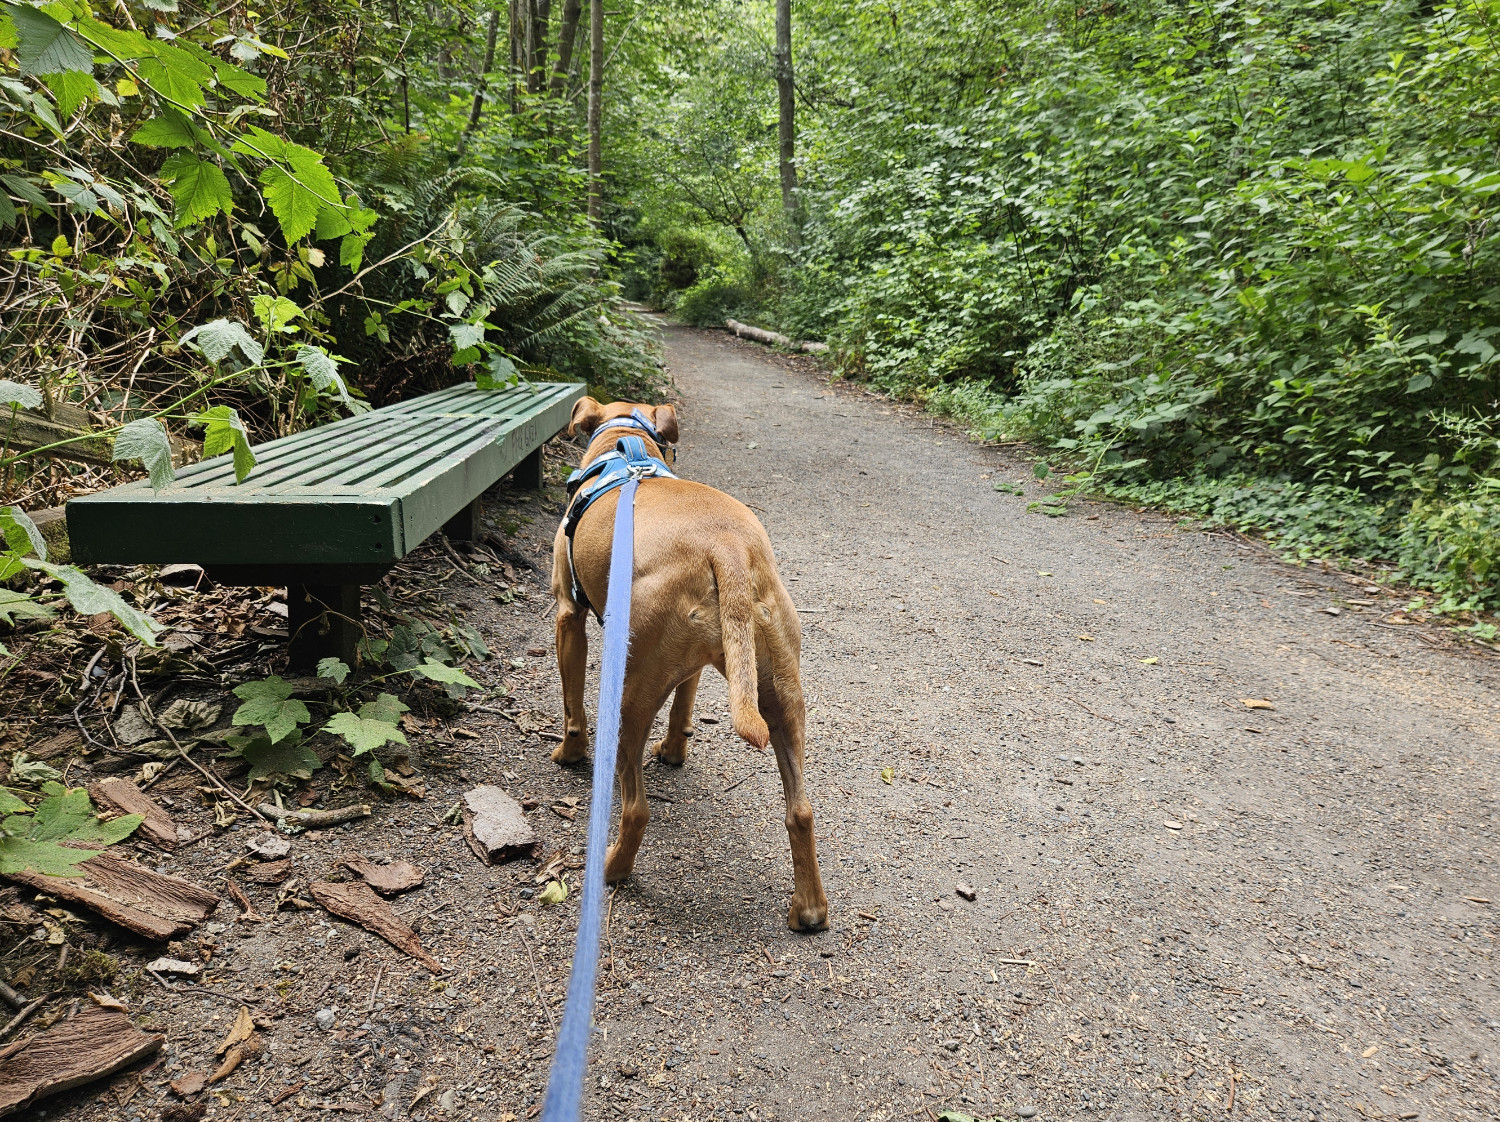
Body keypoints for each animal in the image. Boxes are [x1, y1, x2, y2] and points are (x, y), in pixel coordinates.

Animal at [555, 393, 834, 930]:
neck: (626, 444)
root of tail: (727, 547)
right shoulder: (693, 666)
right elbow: (683, 706)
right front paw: (674, 751)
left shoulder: (568, 614)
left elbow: (571, 706)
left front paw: (569, 753)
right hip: (782, 694)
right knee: (801, 811)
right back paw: (809, 909)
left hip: (628, 694)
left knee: (636, 809)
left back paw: (612, 869)